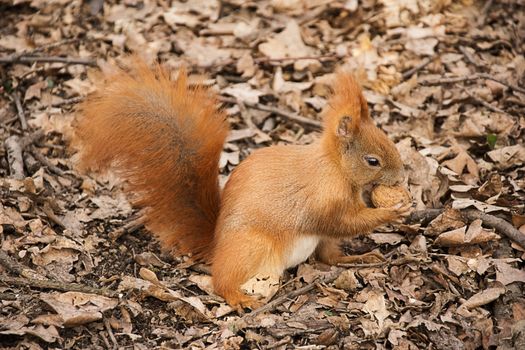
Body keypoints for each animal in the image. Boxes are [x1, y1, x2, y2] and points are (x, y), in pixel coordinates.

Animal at [72, 58, 410, 310]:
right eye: (373, 161)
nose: (401, 177)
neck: (335, 170)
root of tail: (217, 244)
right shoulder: (322, 201)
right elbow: (342, 222)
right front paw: (392, 211)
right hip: (251, 245)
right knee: (221, 281)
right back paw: (238, 297)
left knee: (329, 256)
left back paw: (358, 258)